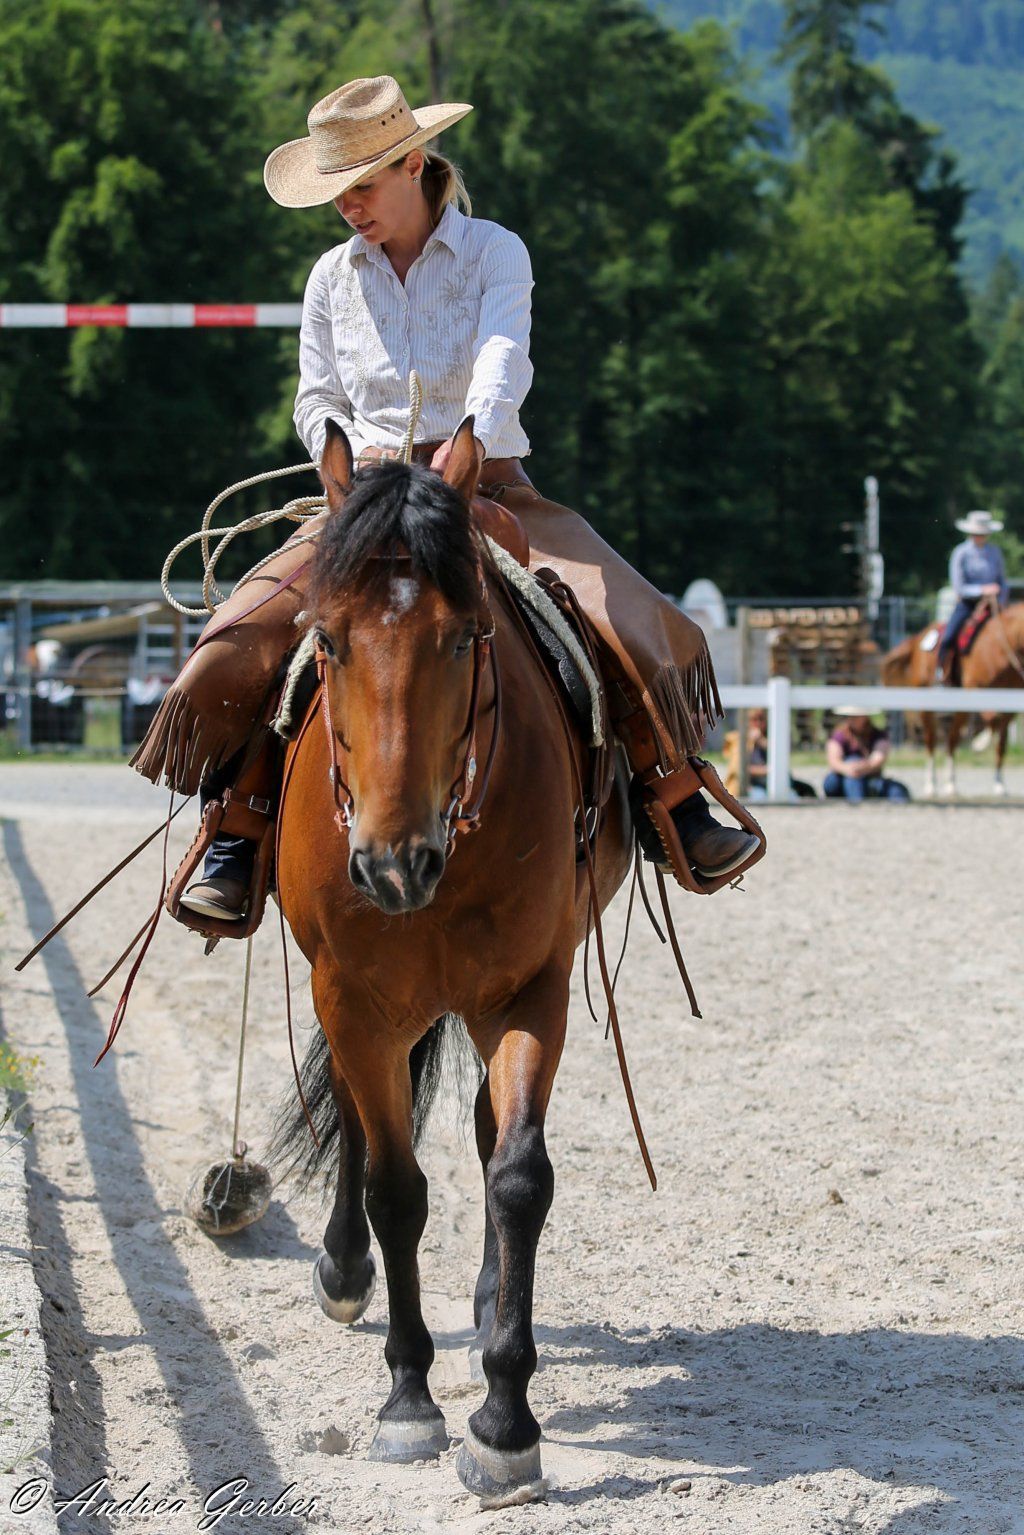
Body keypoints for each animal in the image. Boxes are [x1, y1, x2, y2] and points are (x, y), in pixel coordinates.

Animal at [272, 417, 635, 1496]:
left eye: (468, 635)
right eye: (329, 637)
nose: (394, 864)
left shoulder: (531, 989)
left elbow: (518, 1176)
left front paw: (505, 1418)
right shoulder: (351, 997)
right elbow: (395, 1186)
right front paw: (408, 1397)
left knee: (481, 1131)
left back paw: (481, 1298)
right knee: (360, 1125)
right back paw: (345, 1269)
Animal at [880, 603, 1024, 795]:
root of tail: (917, 639)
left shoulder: (1010, 705)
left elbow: (1001, 744)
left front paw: (999, 784)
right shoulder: (974, 689)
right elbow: (992, 720)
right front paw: (979, 743)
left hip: (958, 711)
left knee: (951, 740)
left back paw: (951, 784)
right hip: (927, 707)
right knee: (931, 741)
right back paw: (931, 784)